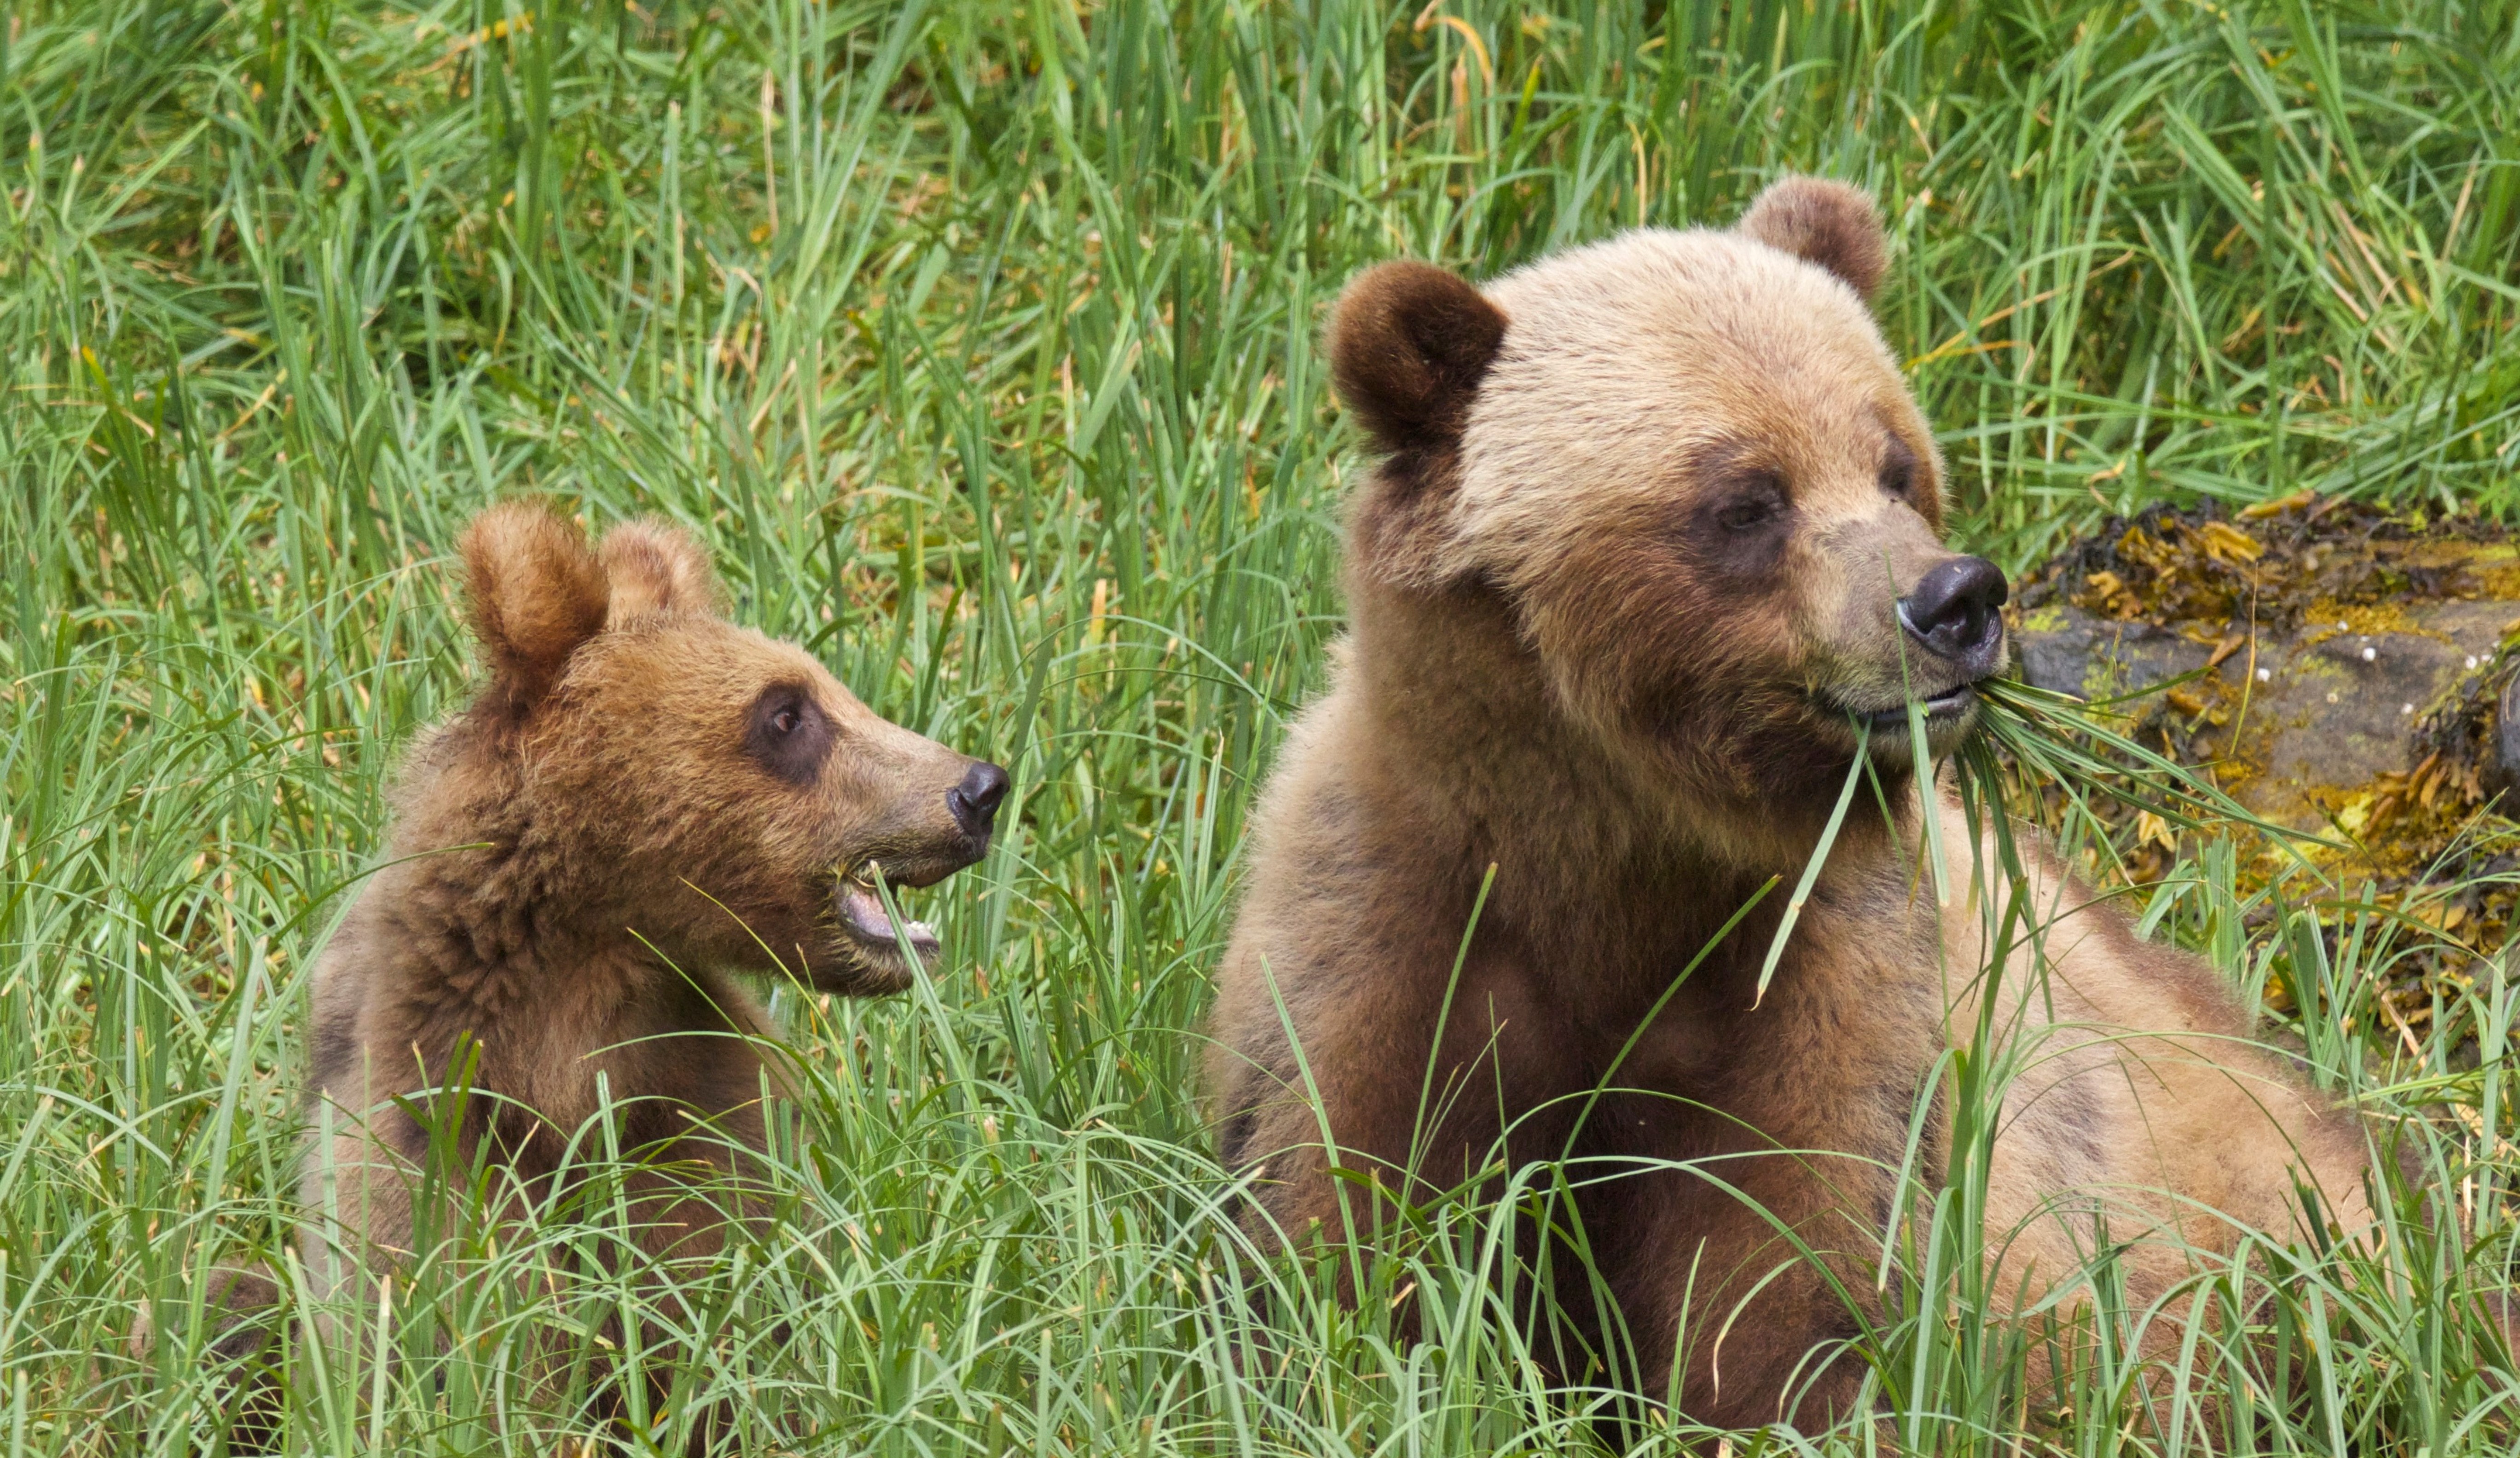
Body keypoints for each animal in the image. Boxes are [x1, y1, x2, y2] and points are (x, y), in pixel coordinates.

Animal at [1210, 176, 2369, 1430]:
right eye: (1748, 498)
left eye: (1895, 462)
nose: (1955, 600)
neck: (1619, 856)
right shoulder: (1392, 925)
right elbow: (1344, 1210)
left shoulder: (1828, 979)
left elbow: (1790, 1267)